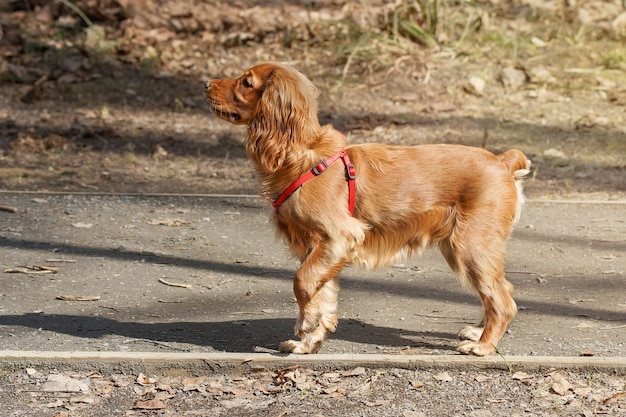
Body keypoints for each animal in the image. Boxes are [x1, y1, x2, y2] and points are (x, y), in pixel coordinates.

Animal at [204, 61, 528, 354]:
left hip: (471, 246)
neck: (301, 154)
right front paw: (309, 341)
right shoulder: (320, 249)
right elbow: (322, 295)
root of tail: (502, 161)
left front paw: (305, 325)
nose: (205, 83)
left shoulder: (339, 236)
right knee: (503, 290)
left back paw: (483, 346)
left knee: (504, 301)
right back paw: (478, 332)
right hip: (460, 248)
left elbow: (302, 282)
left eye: (247, 82)